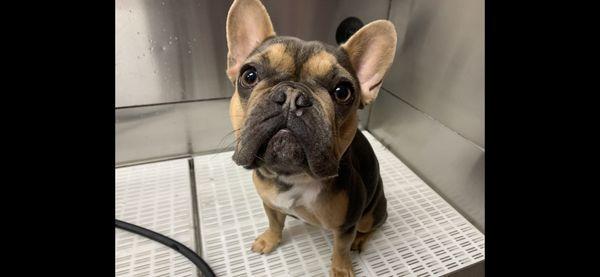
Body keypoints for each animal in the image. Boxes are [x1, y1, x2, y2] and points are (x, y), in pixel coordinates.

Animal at [226, 0, 398, 274]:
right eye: (249, 75)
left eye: (342, 91)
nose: (292, 96)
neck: (292, 177)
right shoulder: (269, 203)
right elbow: (275, 222)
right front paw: (270, 240)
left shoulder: (346, 224)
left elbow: (340, 249)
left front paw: (341, 270)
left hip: (370, 212)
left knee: (371, 226)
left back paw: (359, 241)